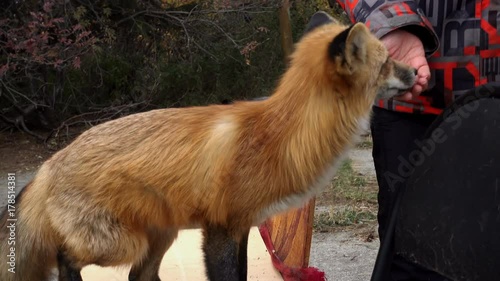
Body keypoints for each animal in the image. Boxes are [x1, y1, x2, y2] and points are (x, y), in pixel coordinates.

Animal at [0, 11, 416, 280]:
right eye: (387, 63)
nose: (415, 70)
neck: (280, 133)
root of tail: (49, 164)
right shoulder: (221, 227)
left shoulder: (243, 226)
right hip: (121, 243)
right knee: (65, 259)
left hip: (159, 236)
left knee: (138, 277)